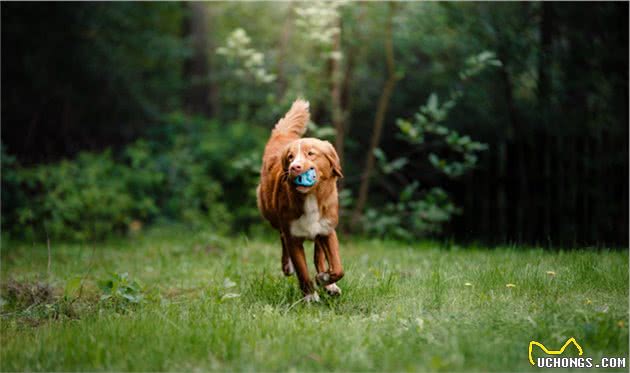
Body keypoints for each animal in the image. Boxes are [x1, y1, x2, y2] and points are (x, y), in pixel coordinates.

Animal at [258, 99, 346, 302]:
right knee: (282, 237)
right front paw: (310, 297)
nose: (294, 167)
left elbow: (338, 268)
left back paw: (328, 283)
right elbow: (303, 272)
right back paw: (288, 266)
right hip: (271, 215)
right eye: (290, 157)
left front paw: (325, 279)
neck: (311, 198)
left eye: (311, 154)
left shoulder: (328, 230)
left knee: (318, 254)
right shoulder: (293, 238)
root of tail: (282, 136)